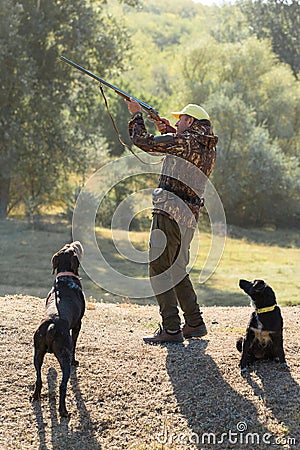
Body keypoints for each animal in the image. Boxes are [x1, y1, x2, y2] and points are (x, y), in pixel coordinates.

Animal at [31, 243, 85, 418]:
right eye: (72, 248)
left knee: (39, 378)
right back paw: (63, 411)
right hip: (64, 356)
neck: (65, 278)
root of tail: (51, 326)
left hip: (37, 353)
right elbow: (75, 345)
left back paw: (35, 396)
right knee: (62, 386)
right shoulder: (78, 325)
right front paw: (76, 361)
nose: (76, 243)